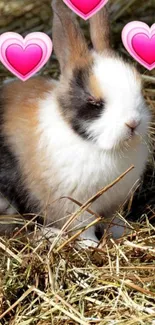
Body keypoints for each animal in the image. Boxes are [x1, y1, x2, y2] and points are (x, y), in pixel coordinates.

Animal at [0, 0, 151, 243]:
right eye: (94, 102)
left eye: (139, 88)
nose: (133, 123)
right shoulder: (76, 208)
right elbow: (84, 230)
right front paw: (91, 245)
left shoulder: (115, 203)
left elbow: (114, 221)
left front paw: (124, 232)